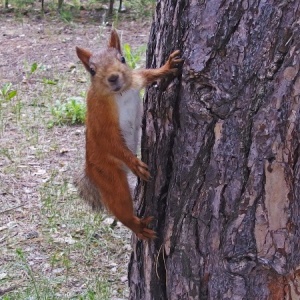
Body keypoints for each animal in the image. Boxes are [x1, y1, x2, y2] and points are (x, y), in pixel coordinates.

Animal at [75, 28, 183, 239]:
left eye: (122, 59)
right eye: (92, 71)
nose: (113, 77)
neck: (120, 93)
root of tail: (90, 168)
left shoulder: (135, 79)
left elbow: (148, 74)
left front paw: (167, 66)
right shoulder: (99, 118)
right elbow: (110, 141)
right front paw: (135, 163)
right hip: (110, 177)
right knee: (121, 207)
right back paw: (137, 226)